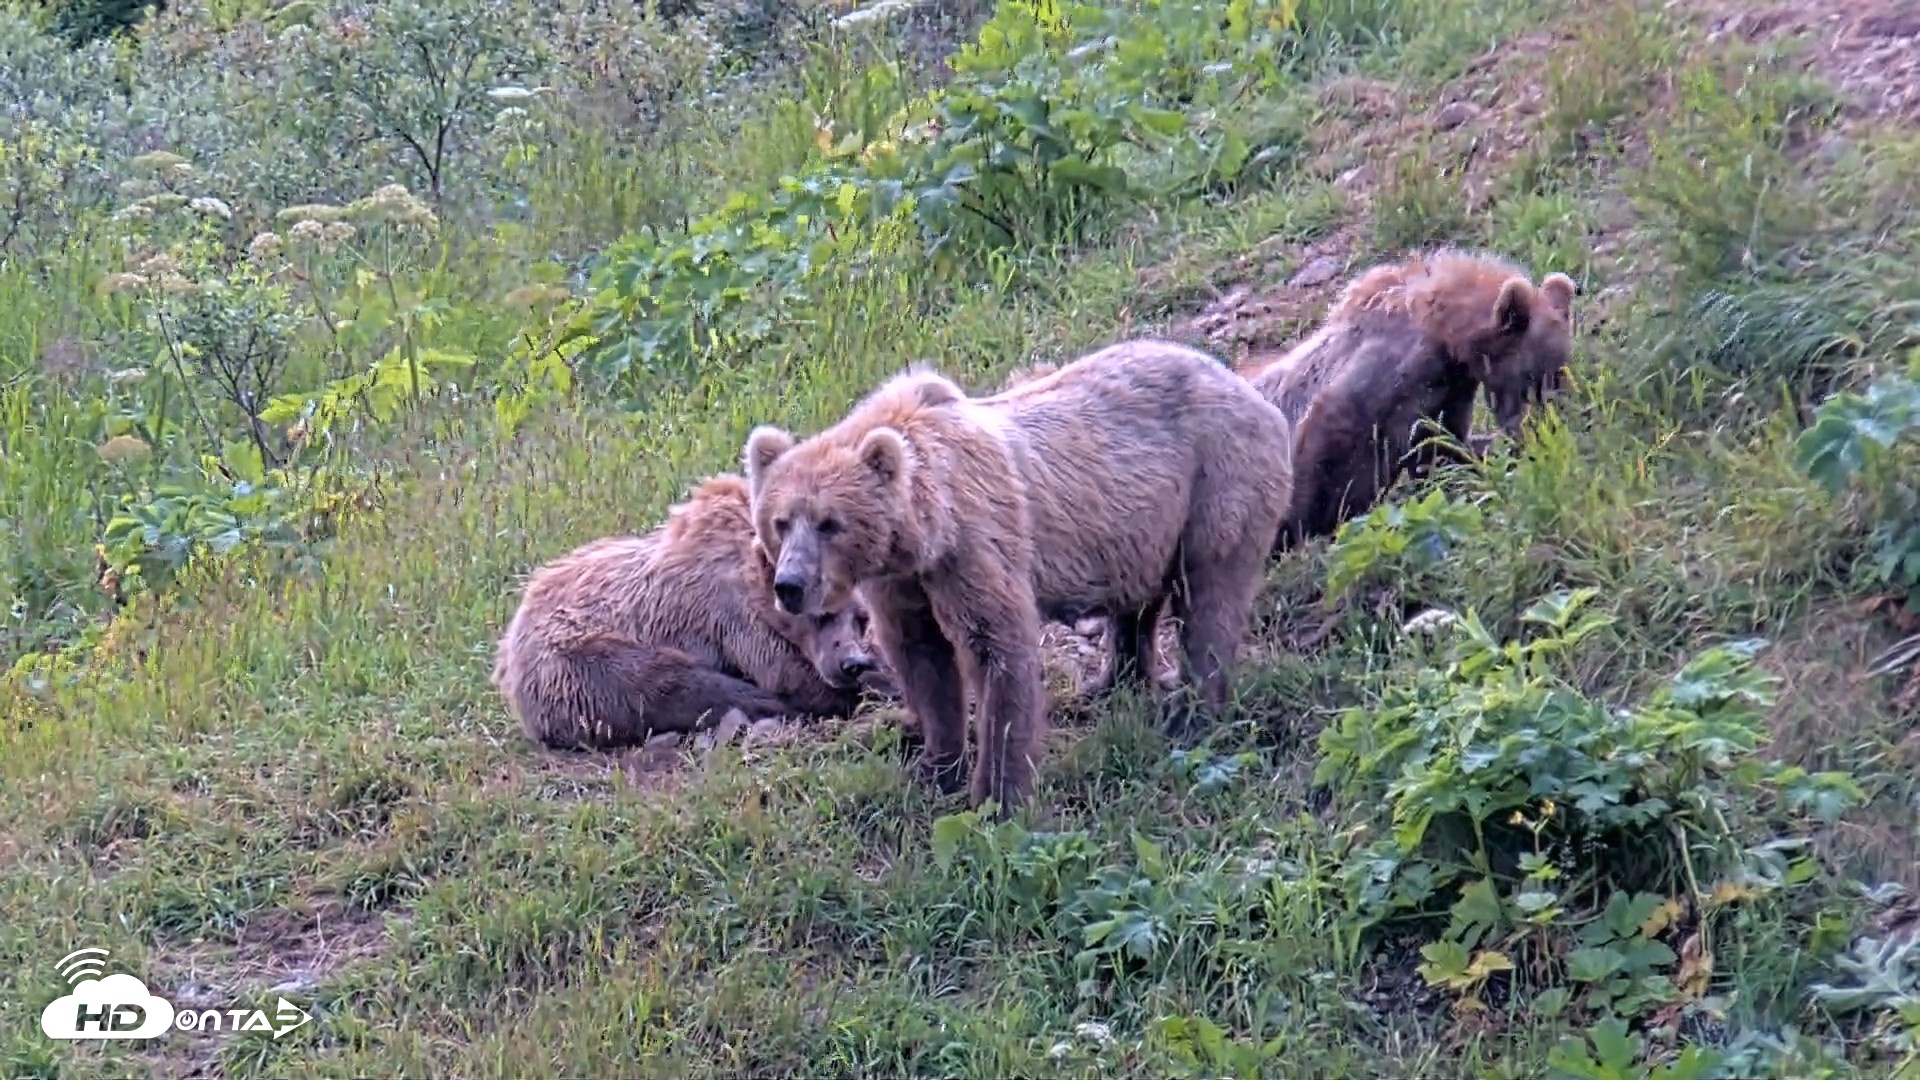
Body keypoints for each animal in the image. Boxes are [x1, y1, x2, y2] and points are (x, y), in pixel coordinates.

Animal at [491, 474, 897, 752]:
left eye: (861, 618)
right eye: (820, 613)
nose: (849, 663)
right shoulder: (727, 612)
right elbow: (788, 674)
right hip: (578, 662)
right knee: (671, 683)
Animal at [741, 338, 1295, 815]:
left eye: (830, 523)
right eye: (780, 522)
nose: (790, 585)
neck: (922, 530)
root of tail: (1249, 389)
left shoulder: (972, 546)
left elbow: (998, 652)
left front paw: (998, 797)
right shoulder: (902, 582)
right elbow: (923, 658)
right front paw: (935, 765)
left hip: (1216, 480)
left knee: (1210, 596)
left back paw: (1193, 711)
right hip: (1143, 523)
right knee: (1137, 600)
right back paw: (1111, 680)